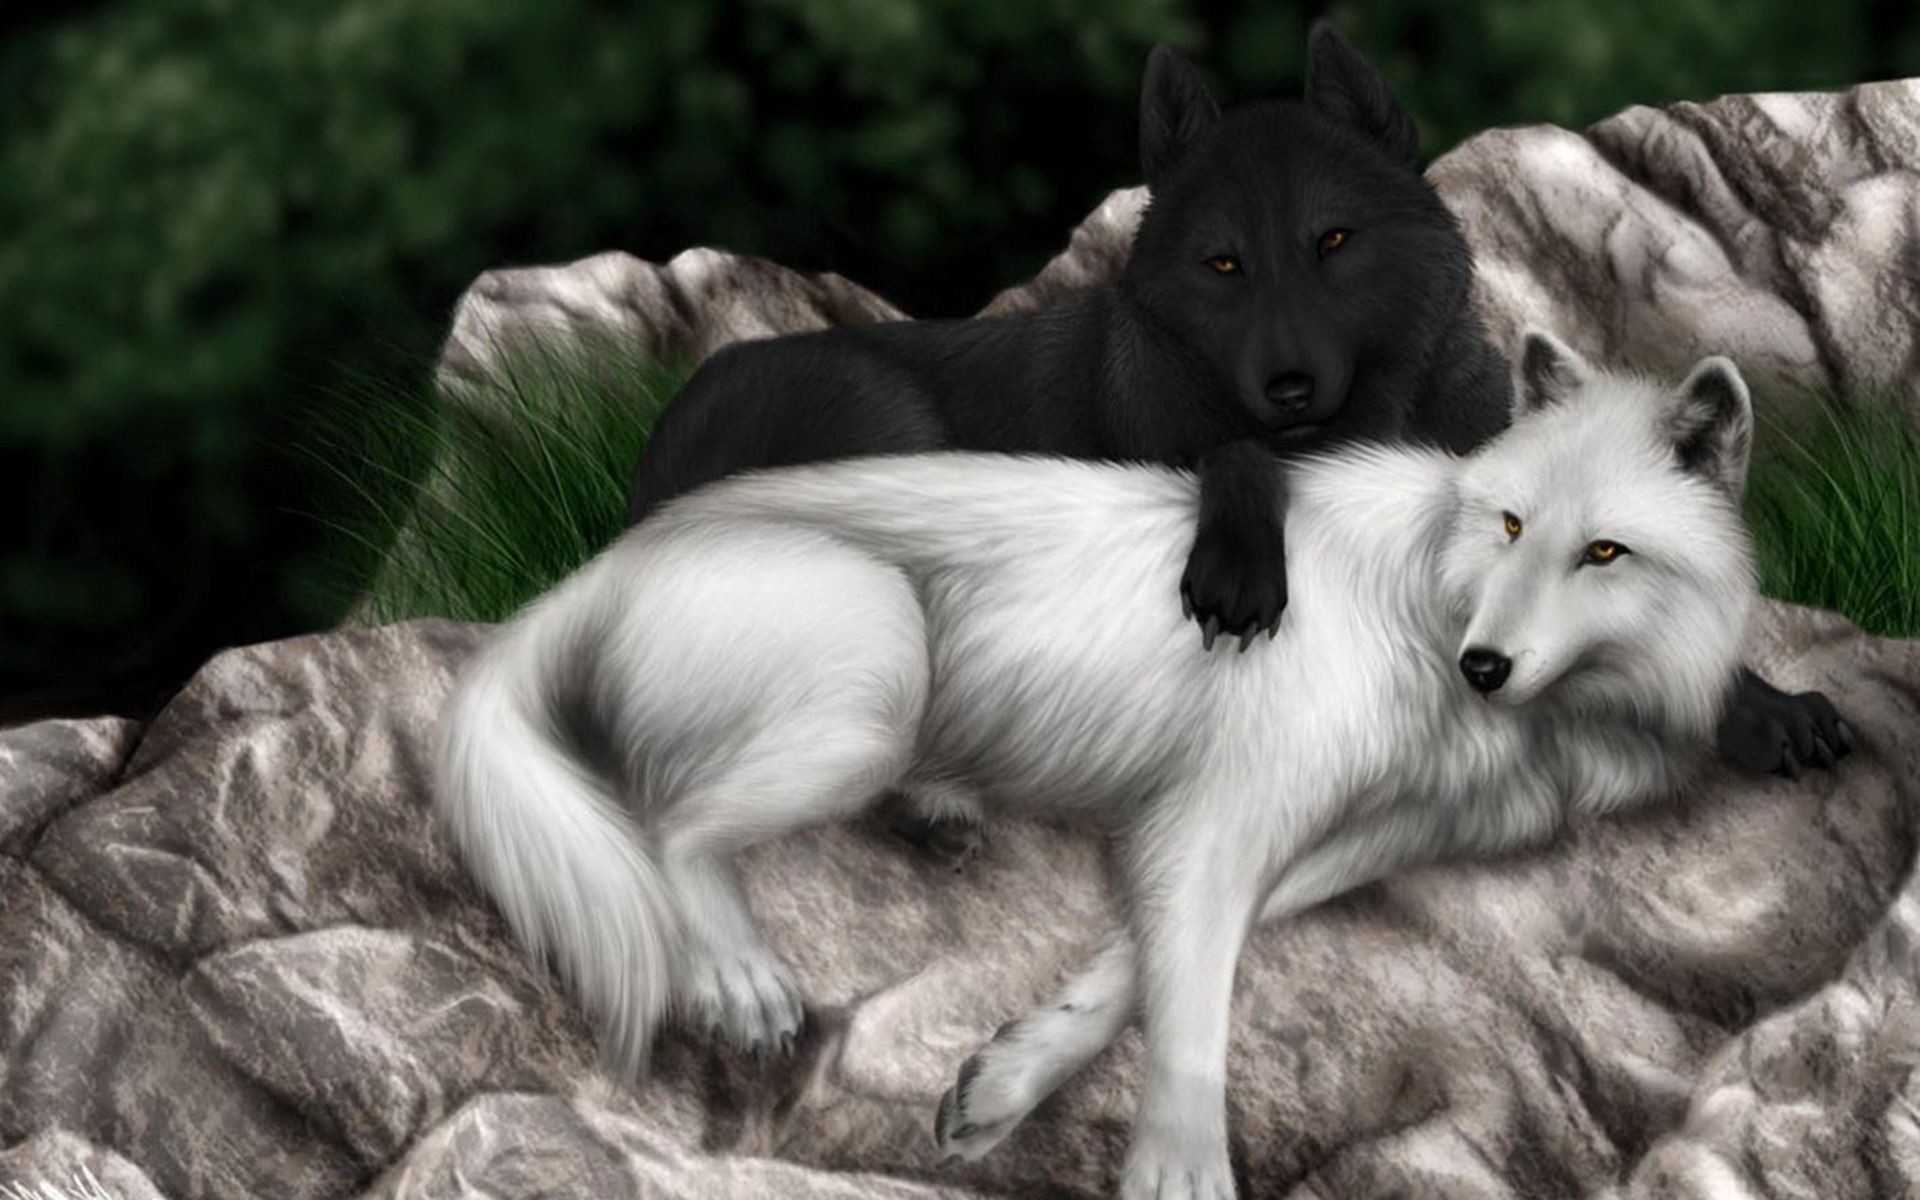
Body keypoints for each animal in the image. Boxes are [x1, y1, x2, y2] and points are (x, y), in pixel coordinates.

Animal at [437, 332, 1759, 1199]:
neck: (1430, 594)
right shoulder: (1220, 820)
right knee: (664, 824)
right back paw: (742, 980)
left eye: (1603, 552)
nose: (1484, 665)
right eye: (1510, 526)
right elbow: (1194, 1012)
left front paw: (1004, 1082)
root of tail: (608, 560)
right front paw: (1176, 1167)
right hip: (876, 666)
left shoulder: (1328, 844)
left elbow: (1134, 965)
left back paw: (940, 811)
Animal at [623, 25, 1845, 800]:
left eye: (1334, 242)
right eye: (1223, 264)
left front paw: (1768, 705)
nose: (1290, 387)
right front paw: (1240, 571)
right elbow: (1234, 454)